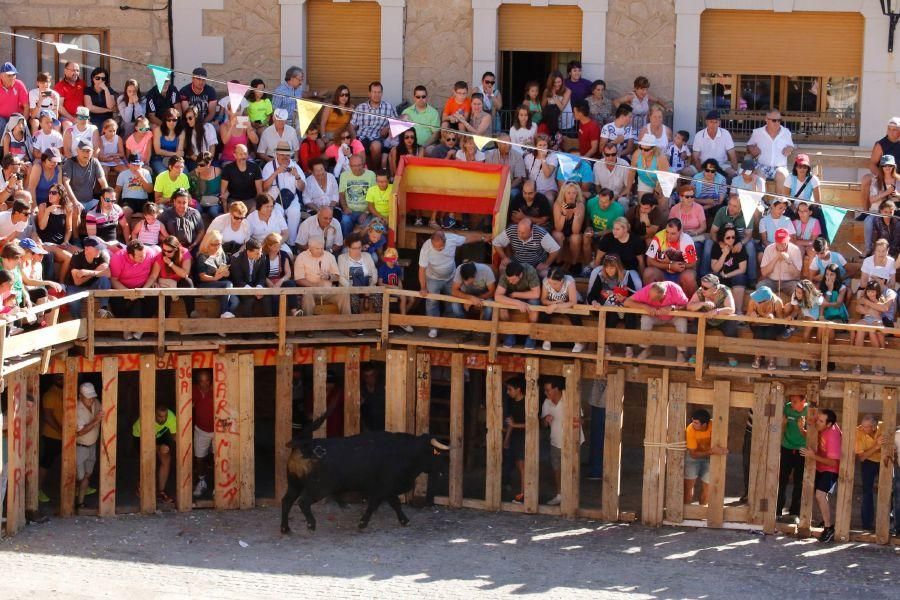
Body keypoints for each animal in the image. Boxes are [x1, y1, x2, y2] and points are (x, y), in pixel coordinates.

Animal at [282, 432, 450, 536]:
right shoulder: (384, 488)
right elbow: (376, 504)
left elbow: (394, 503)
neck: (406, 452)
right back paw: (311, 525)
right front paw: (362, 523)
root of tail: (304, 447)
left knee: (286, 502)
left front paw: (404, 520)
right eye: (436, 454)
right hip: (318, 488)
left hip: (294, 484)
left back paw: (285, 528)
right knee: (303, 502)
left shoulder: (387, 489)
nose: (444, 469)